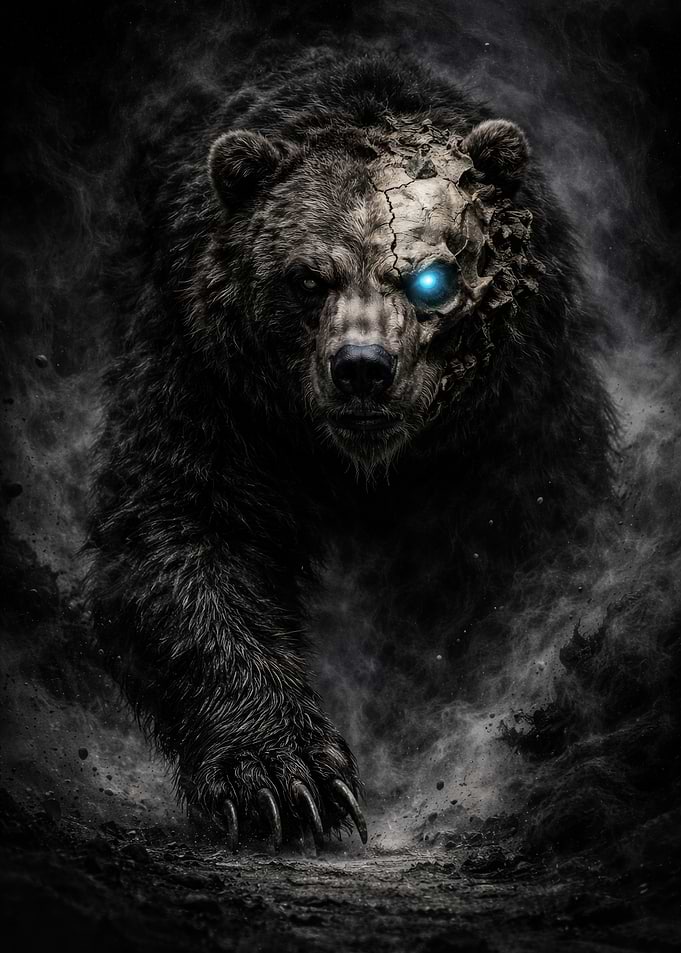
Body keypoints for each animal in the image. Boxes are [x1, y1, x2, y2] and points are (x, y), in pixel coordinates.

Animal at [88, 48, 614, 849]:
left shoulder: (519, 416)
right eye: (308, 278)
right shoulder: (210, 383)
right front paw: (284, 780)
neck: (364, 469)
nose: (362, 367)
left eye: (431, 277)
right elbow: (179, 535)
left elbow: (542, 557)